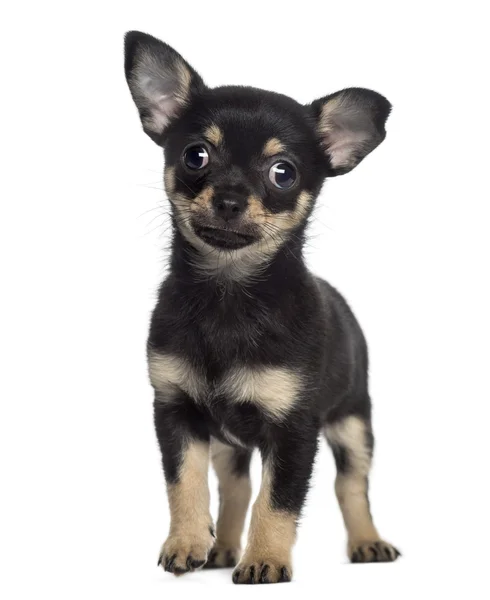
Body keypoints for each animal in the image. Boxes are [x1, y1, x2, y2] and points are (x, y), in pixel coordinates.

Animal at [124, 30, 400, 584]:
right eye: (196, 156)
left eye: (282, 173)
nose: (229, 199)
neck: (228, 294)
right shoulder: (176, 413)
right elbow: (184, 484)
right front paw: (186, 542)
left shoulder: (294, 431)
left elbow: (279, 501)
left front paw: (267, 560)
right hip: (230, 443)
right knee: (235, 487)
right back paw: (222, 548)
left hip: (354, 422)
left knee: (351, 486)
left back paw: (367, 542)